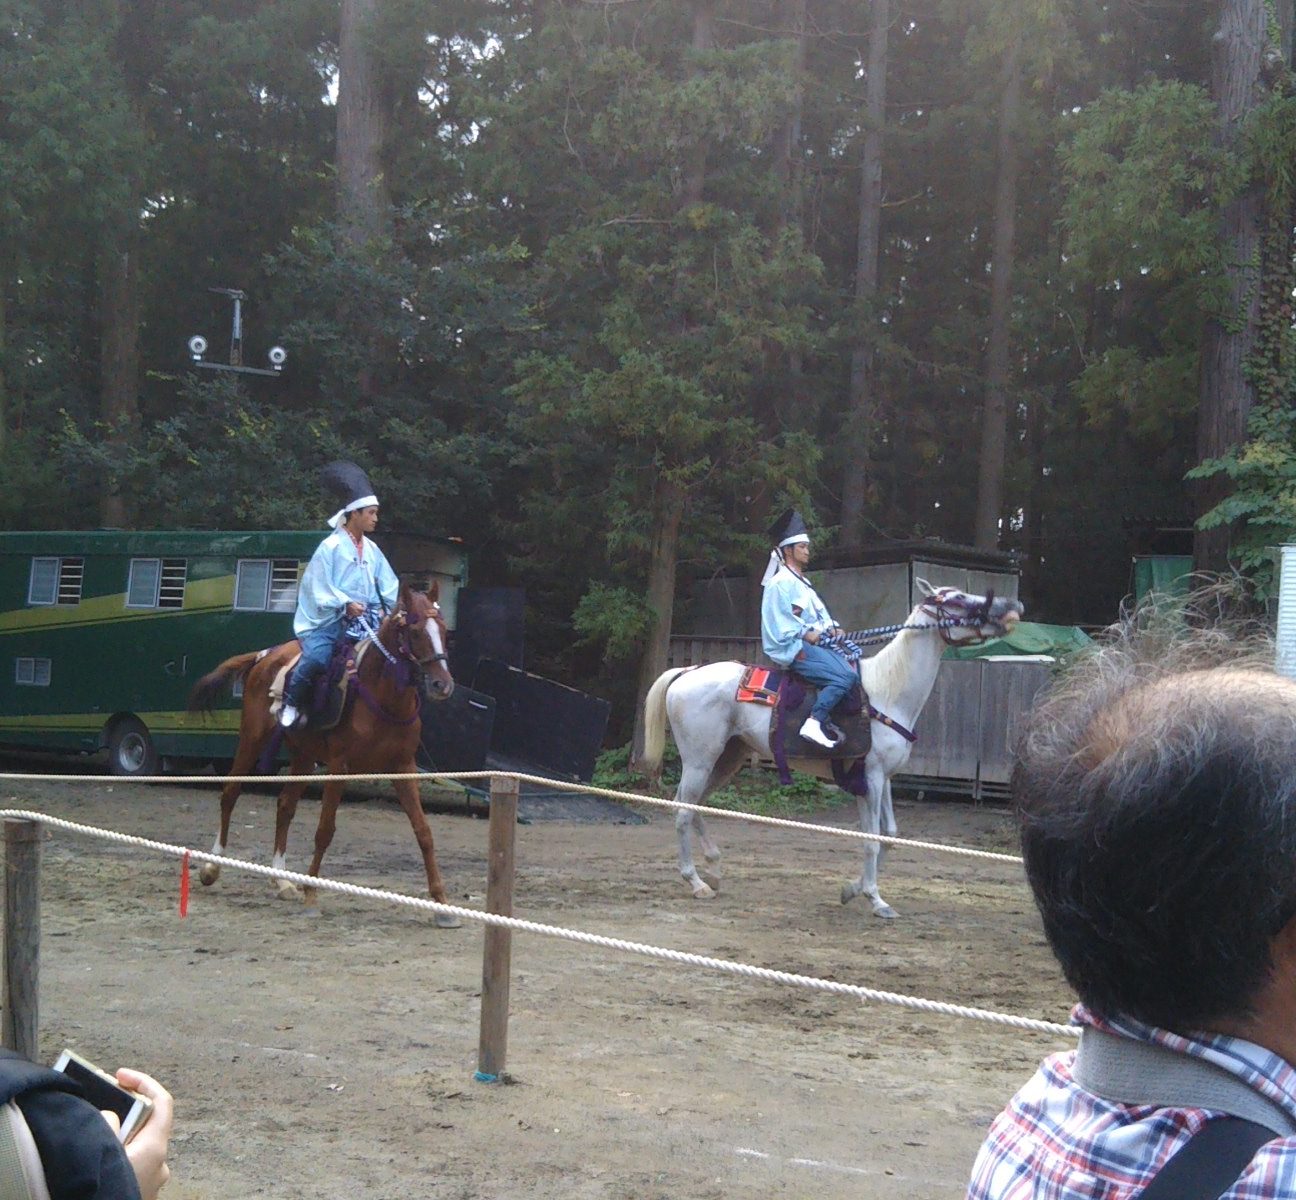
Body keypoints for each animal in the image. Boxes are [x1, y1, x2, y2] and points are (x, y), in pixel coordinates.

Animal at [186, 577, 461, 927]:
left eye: (443, 630)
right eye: (414, 632)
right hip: (252, 739)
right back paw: (212, 866)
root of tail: (266, 655)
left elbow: (424, 832)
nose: (443, 685)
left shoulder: (403, 766)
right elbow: (325, 830)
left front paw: (442, 905)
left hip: (303, 755)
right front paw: (311, 896)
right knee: (230, 794)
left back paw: (282, 880)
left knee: (285, 806)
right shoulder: (339, 766)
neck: (382, 698)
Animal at [637, 588, 1021, 917]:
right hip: (700, 760)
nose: (1010, 606)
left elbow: (889, 835)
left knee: (691, 804)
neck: (888, 691)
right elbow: (871, 840)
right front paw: (875, 899)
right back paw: (696, 882)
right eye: (957, 599)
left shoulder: (884, 778)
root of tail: (688, 670)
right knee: (683, 813)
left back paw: (714, 869)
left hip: (726, 759)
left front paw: (852, 890)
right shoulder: (872, 777)